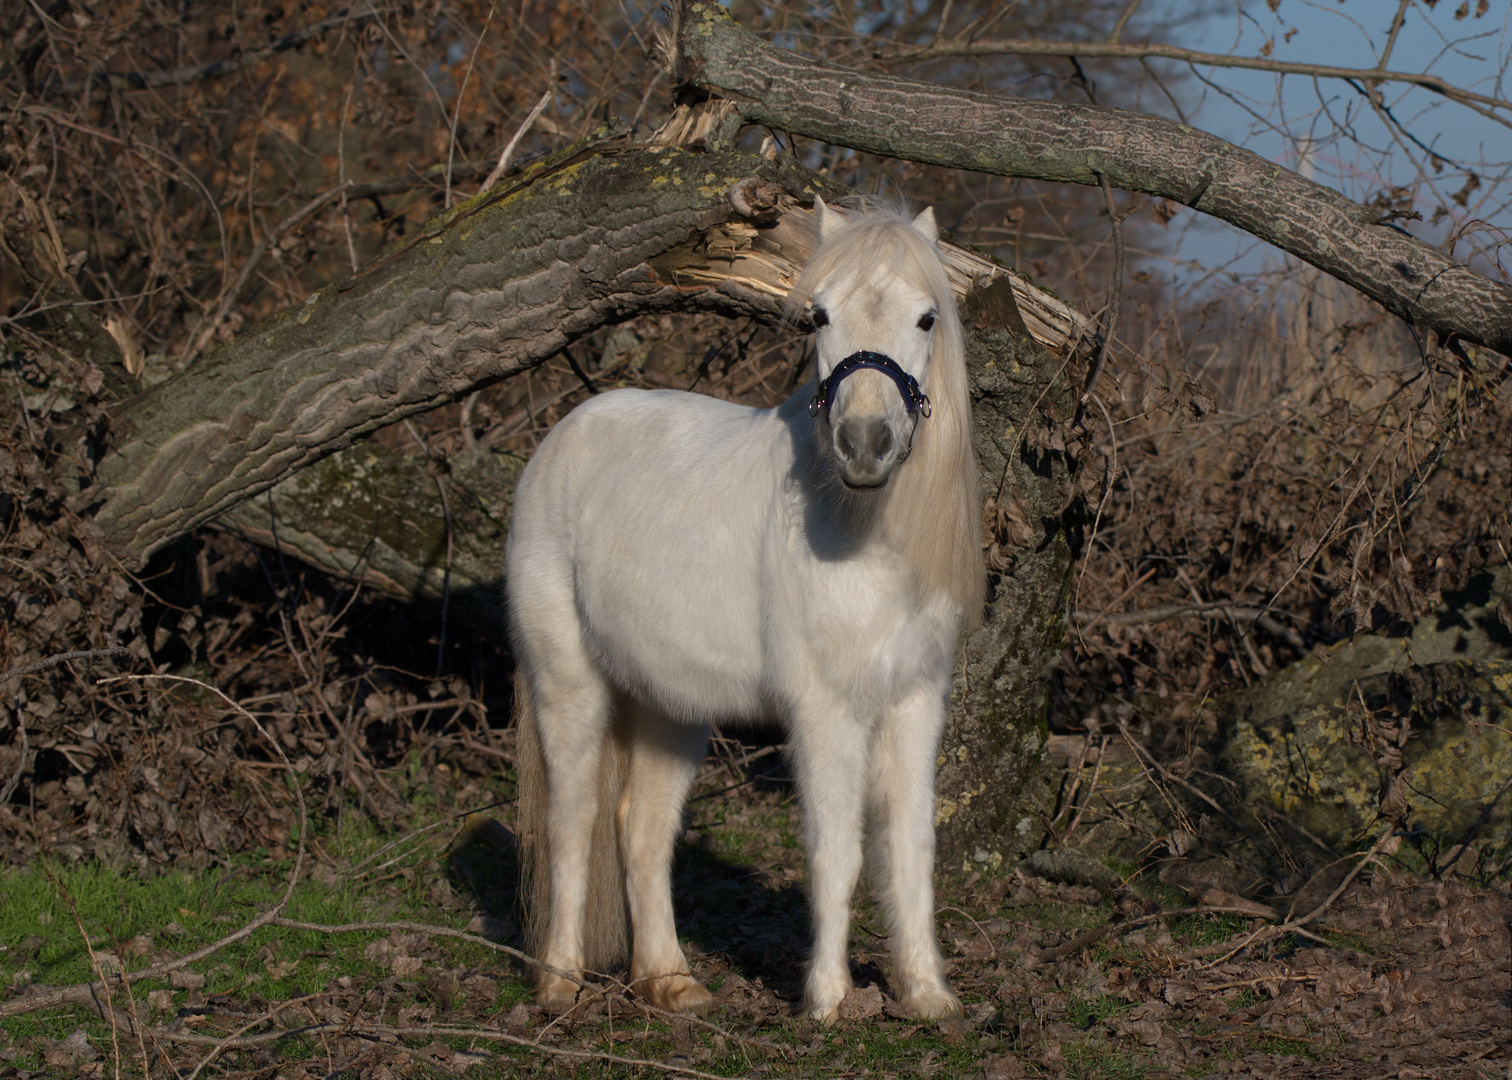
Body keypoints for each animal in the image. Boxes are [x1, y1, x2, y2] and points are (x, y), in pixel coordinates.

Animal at [508, 199, 979, 1016]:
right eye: (819, 315)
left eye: (927, 319)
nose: (865, 444)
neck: (859, 532)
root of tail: (562, 437)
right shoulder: (826, 711)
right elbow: (836, 848)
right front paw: (827, 1001)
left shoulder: (915, 701)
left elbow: (911, 847)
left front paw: (927, 996)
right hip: (569, 684)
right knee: (573, 821)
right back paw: (560, 983)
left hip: (669, 705)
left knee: (642, 830)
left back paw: (670, 982)